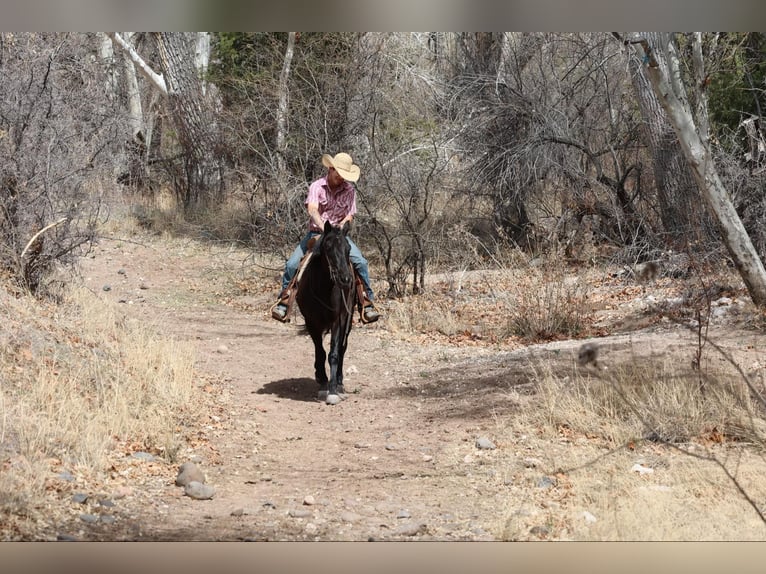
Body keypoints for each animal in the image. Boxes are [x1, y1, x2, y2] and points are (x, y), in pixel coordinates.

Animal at [295, 220, 357, 405]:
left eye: (348, 248)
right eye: (328, 247)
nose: (345, 279)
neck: (323, 287)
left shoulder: (338, 320)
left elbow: (334, 353)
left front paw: (333, 389)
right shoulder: (311, 321)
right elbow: (320, 352)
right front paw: (323, 382)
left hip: (348, 320)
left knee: (343, 348)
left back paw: (340, 382)